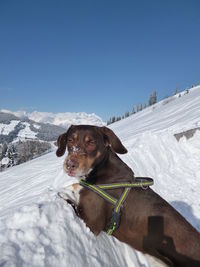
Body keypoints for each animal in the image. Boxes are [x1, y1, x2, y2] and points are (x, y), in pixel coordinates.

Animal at [55, 126, 200, 267]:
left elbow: (72, 196)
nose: (70, 165)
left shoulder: (92, 224)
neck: (103, 170)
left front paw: (63, 192)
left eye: (91, 142)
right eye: (70, 140)